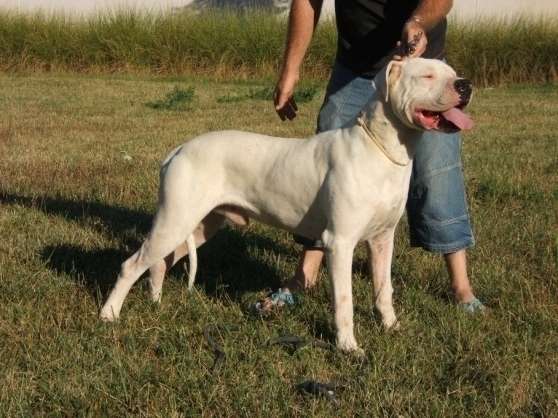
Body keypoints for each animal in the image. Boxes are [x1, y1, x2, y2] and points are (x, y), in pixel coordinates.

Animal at [99, 57, 472, 354]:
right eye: (427, 76)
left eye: (453, 72)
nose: (465, 84)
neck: (381, 149)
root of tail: (178, 150)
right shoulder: (340, 243)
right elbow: (344, 301)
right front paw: (348, 347)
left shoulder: (382, 240)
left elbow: (384, 289)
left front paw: (392, 328)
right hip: (175, 219)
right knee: (131, 265)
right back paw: (109, 315)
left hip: (200, 224)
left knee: (161, 262)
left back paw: (155, 301)